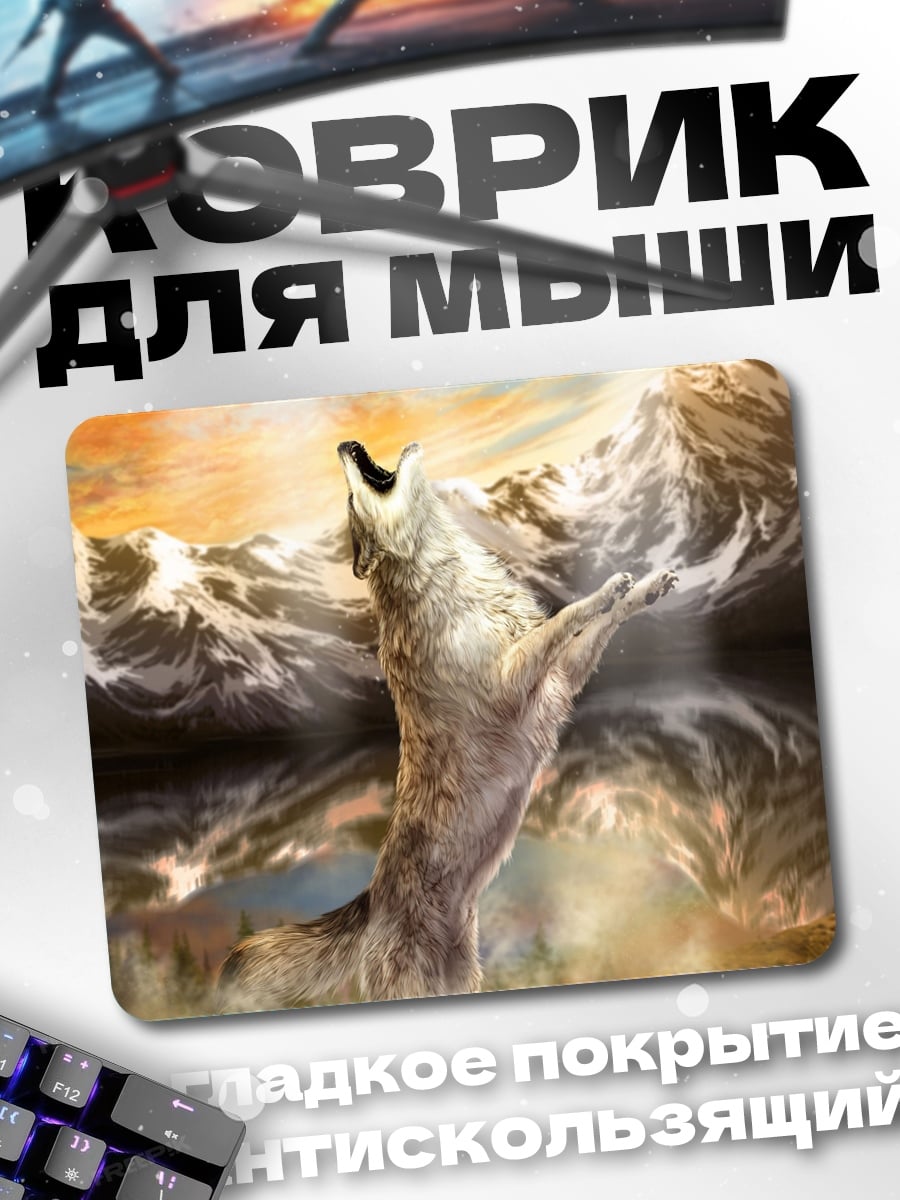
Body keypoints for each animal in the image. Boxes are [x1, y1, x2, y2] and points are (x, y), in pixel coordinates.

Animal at [218, 441, 676, 1009]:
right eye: (349, 499)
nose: (344, 444)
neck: (441, 571)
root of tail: (371, 902)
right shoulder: (512, 679)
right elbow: (568, 616)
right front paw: (609, 588)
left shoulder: (558, 683)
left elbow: (598, 622)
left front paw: (646, 587)